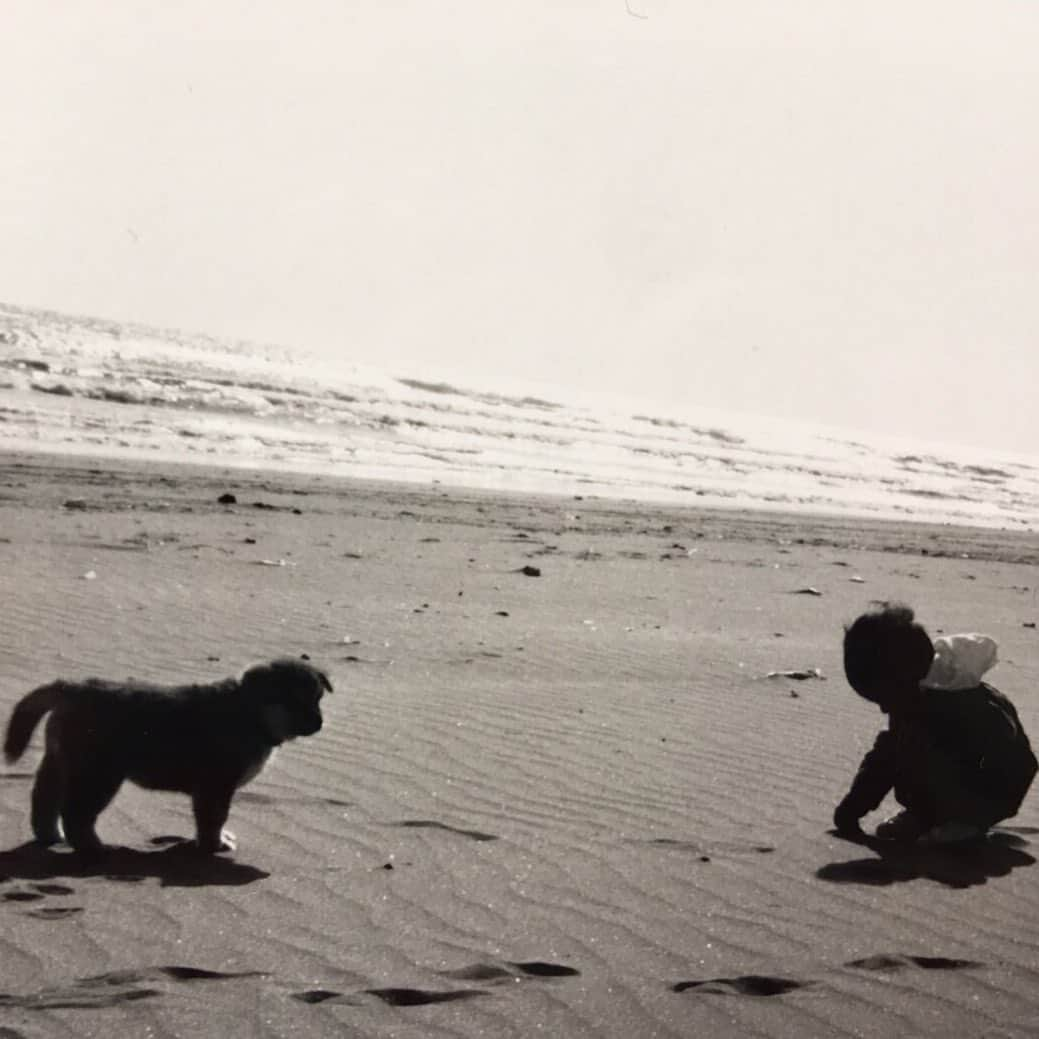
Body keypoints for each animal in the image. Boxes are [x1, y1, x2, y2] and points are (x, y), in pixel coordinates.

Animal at [3, 656, 328, 851]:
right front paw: (213, 845)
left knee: (44, 800)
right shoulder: (216, 785)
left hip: (61, 761)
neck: (251, 711)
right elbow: (213, 819)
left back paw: (49, 836)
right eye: (294, 701)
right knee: (76, 813)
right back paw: (93, 847)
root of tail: (72, 689)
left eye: (317, 699)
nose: (319, 723)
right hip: (99, 773)